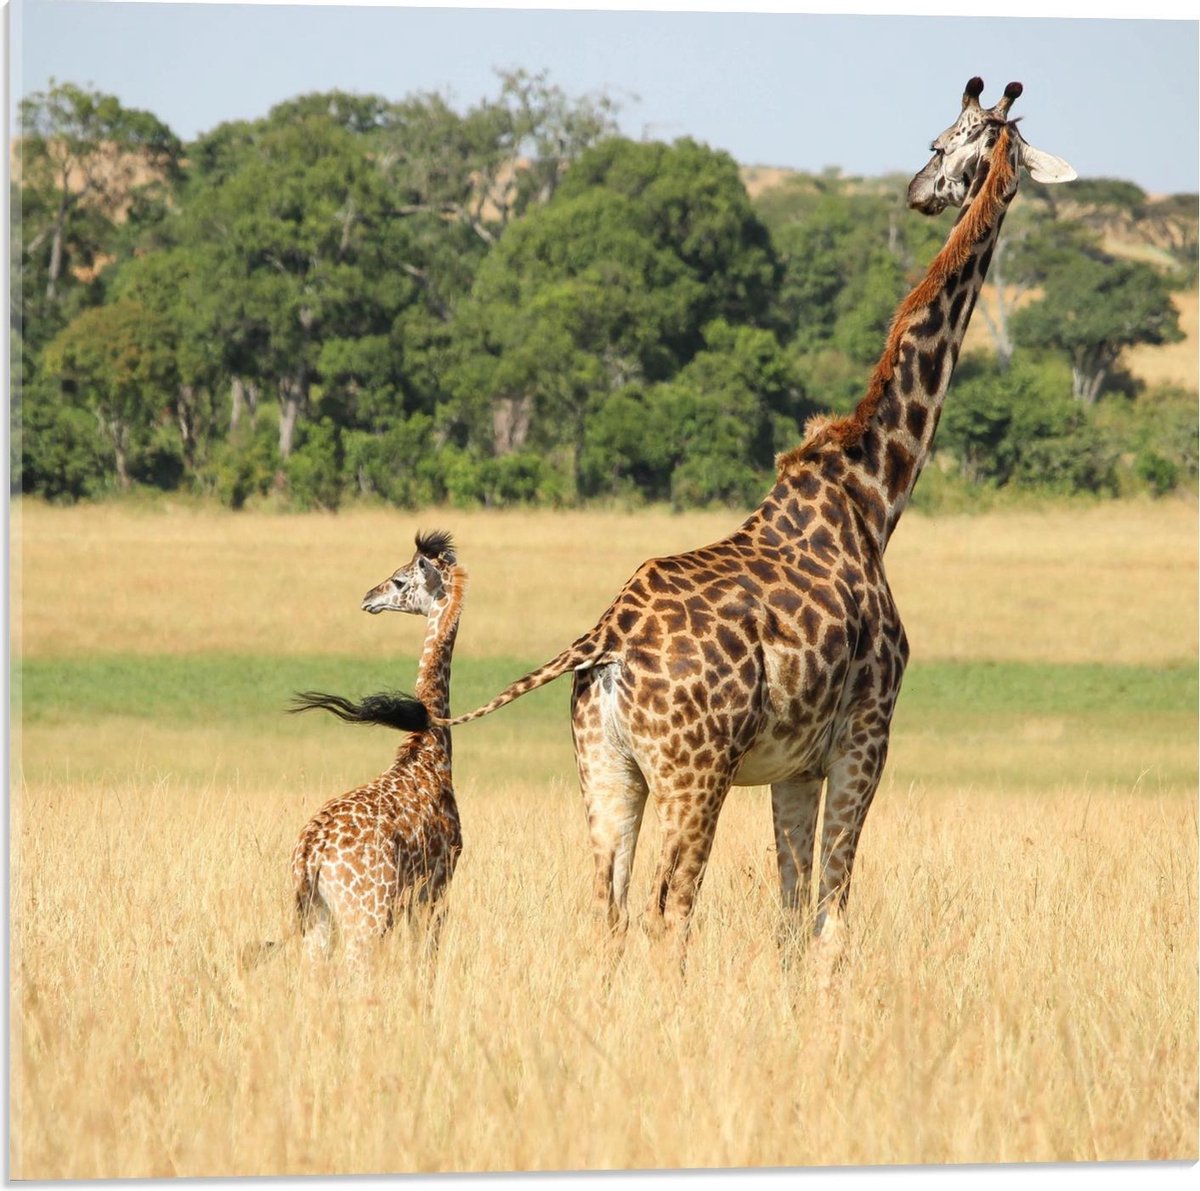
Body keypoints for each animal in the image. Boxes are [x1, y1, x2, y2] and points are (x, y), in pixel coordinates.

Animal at [284, 529, 466, 969]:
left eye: (399, 580)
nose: (369, 597)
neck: (429, 751)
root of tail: (310, 854)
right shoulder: (436, 885)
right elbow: (425, 958)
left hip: (319, 918)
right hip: (366, 915)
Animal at [385, 79, 1075, 967]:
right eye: (943, 140)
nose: (922, 191)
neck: (874, 494)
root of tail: (602, 640)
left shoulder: (794, 765)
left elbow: (791, 911)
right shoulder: (866, 733)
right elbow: (831, 912)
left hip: (606, 768)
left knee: (609, 909)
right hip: (696, 771)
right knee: (668, 907)